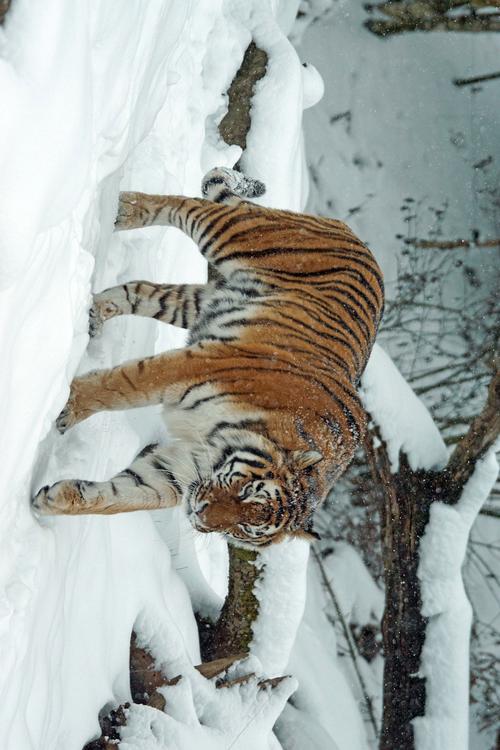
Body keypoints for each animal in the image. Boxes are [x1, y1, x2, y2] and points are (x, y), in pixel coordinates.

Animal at [32, 167, 382, 548]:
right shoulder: (196, 365)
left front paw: (54, 500)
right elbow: (118, 387)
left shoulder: (178, 469)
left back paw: (95, 312)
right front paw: (67, 409)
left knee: (139, 289)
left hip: (197, 303)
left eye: (244, 528)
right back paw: (125, 209)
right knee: (185, 205)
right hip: (234, 234)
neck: (223, 439)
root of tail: (355, 235)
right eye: (248, 491)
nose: (201, 519)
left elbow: (124, 497)